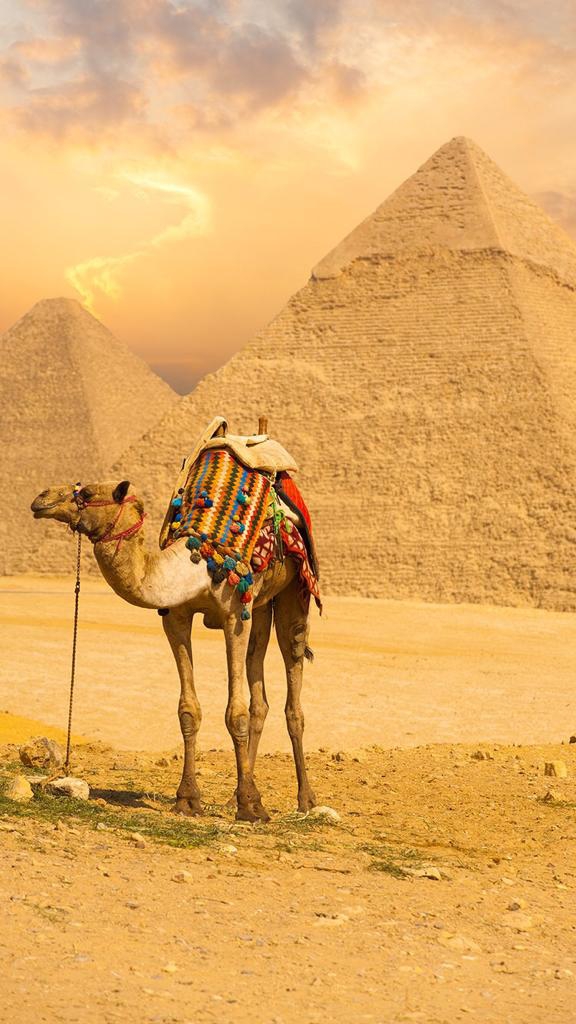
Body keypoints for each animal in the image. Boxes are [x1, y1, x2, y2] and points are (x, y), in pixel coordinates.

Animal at [30, 478, 317, 822]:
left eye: (86, 493)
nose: (40, 498)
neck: (200, 565)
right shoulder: (176, 617)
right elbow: (188, 710)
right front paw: (188, 799)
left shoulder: (234, 614)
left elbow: (236, 713)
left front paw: (251, 806)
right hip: (260, 606)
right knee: (259, 693)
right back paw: (232, 799)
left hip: (292, 593)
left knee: (293, 683)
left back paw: (305, 800)